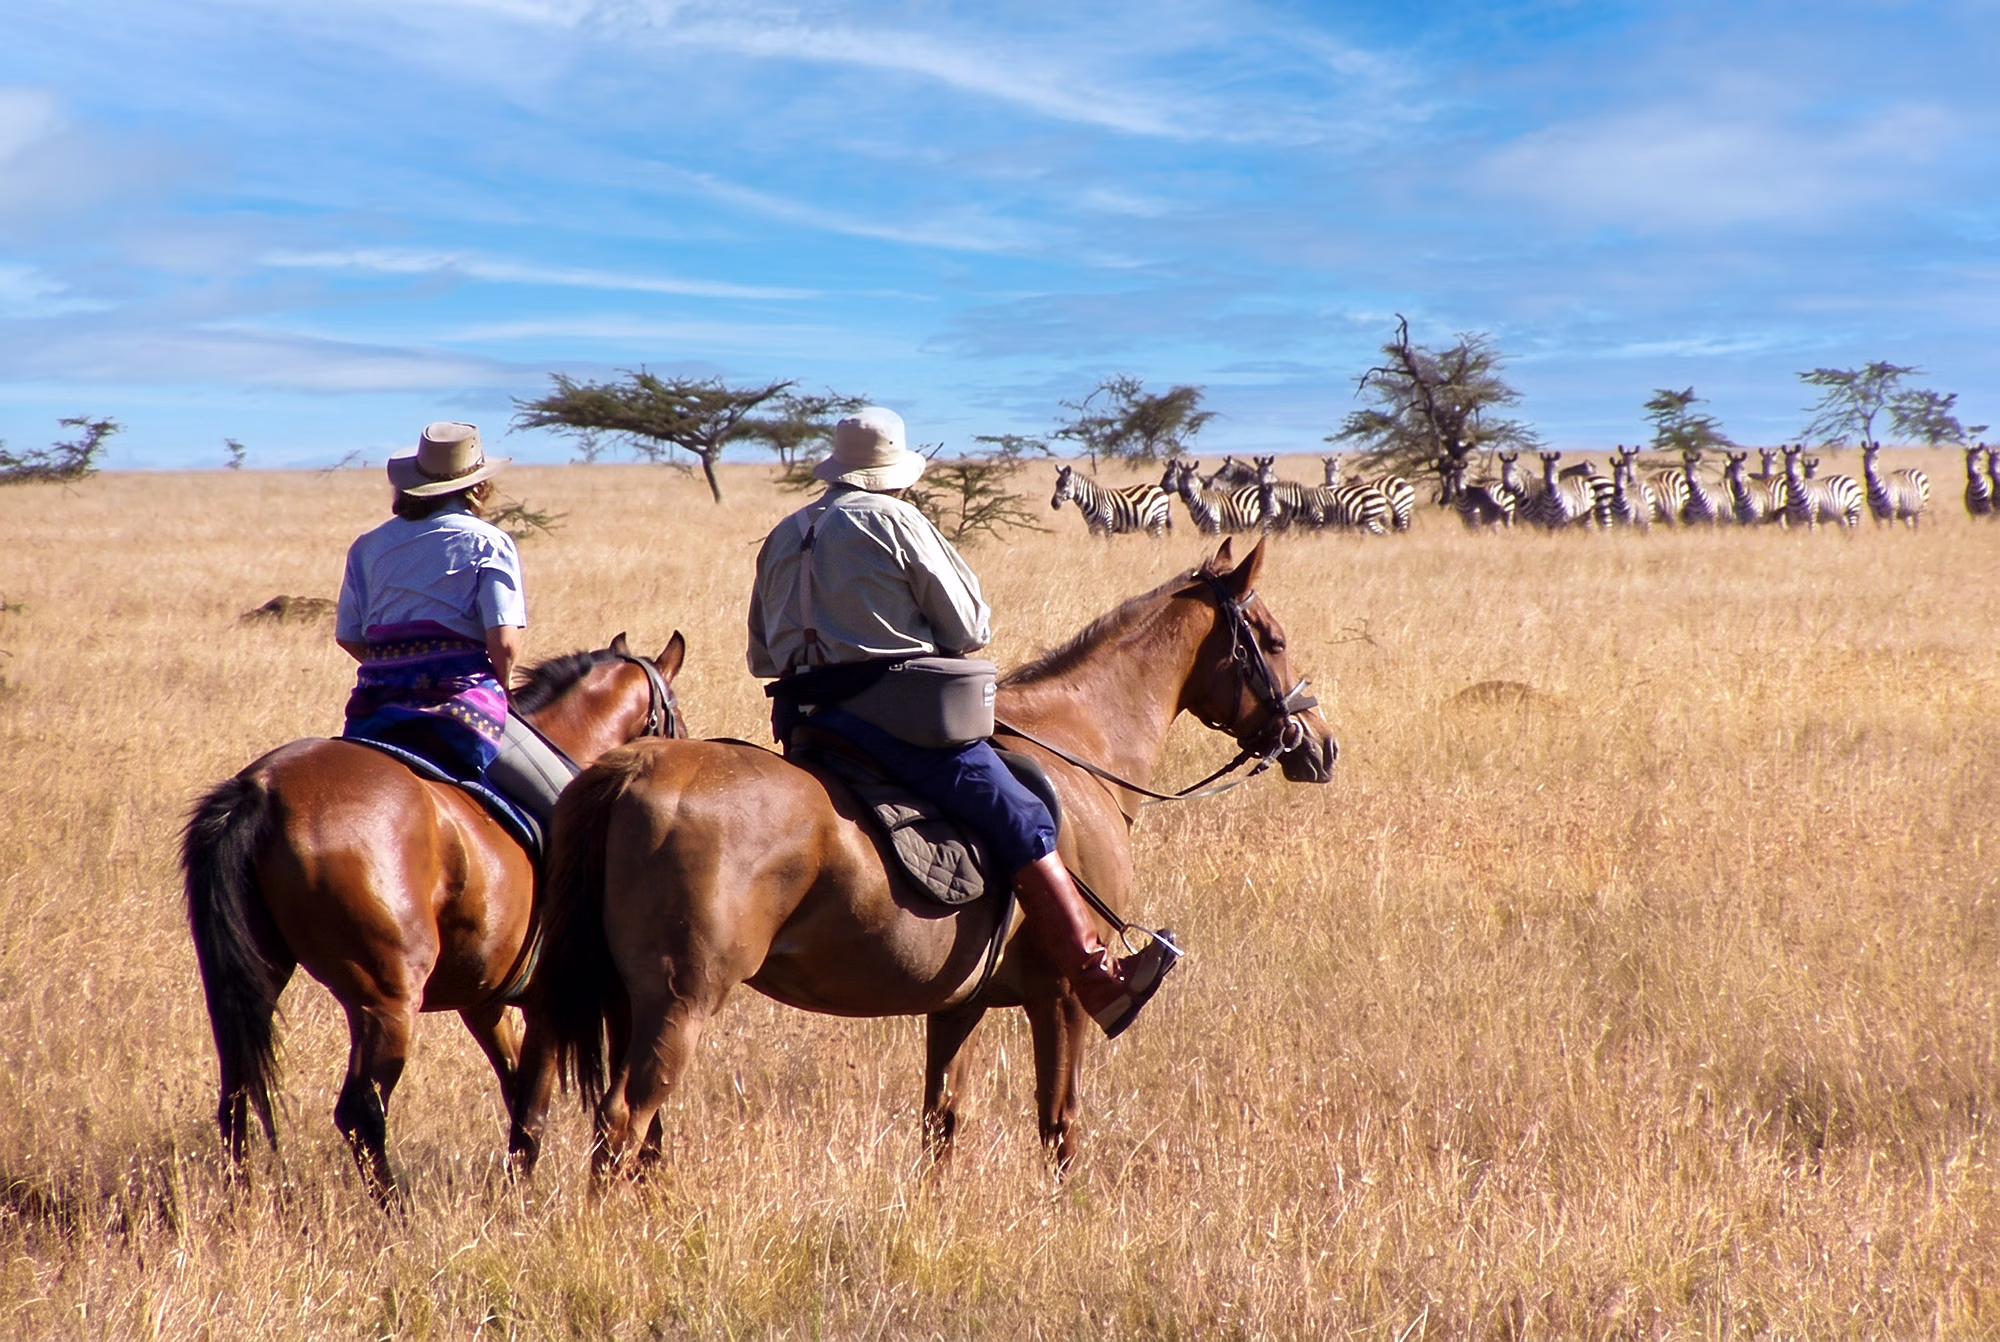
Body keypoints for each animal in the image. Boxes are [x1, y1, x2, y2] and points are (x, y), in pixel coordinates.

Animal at [181, 631, 687, 1201]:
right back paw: (398, 1211)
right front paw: (525, 1197)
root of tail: (262, 789)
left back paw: (240, 1203)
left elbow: (516, 1089)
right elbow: (533, 1108)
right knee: (360, 1114)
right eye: (673, 715)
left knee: (237, 1095)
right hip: (387, 1000)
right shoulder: (548, 1002)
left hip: (256, 981)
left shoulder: (486, 1002)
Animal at [509, 539, 1334, 1181]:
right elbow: (1058, 1121)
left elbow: (943, 1120)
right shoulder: (1063, 998)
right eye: (1272, 638)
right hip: (677, 1002)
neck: (1078, 747)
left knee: (594, 1119)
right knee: (624, 1118)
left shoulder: (957, 1003)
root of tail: (632, 768)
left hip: (609, 997)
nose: (1320, 744)